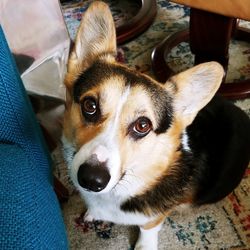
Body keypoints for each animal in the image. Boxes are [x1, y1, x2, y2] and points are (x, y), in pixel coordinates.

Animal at [53, 0, 249, 249]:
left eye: (143, 126)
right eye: (90, 105)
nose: (91, 179)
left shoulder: (153, 218)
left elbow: (149, 227)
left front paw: (144, 244)